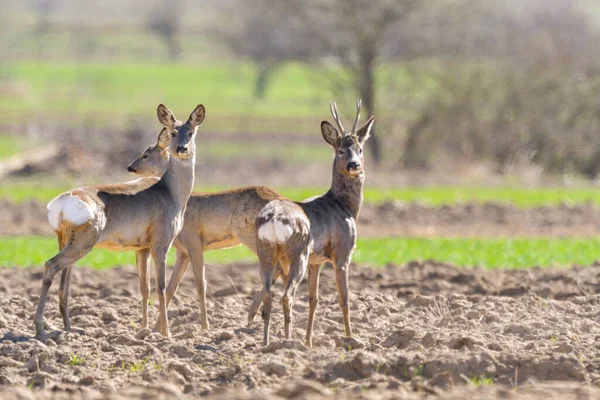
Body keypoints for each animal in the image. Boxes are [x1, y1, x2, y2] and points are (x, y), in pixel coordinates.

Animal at [34, 104, 205, 340]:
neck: (170, 193)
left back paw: (68, 331)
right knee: (50, 266)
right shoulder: (161, 244)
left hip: (67, 242)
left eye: (191, 131)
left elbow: (145, 287)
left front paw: (144, 330)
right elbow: (161, 286)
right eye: (173, 132)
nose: (182, 148)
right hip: (82, 244)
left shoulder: (142, 248)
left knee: (64, 285)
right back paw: (41, 329)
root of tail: (62, 202)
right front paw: (165, 334)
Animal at [126, 142, 284, 330]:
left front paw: (204, 326)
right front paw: (158, 328)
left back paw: (251, 315)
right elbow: (172, 287)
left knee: (276, 268)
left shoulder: (194, 244)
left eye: (146, 155)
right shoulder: (183, 252)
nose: (130, 167)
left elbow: (201, 284)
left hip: (251, 237)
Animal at [254, 101, 376, 346]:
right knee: (286, 296)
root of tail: (273, 219)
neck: (344, 207)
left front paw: (309, 342)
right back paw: (287, 341)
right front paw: (351, 338)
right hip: (297, 253)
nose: (354, 165)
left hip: (266, 253)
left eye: (360, 149)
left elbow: (314, 299)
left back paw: (267, 343)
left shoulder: (315, 261)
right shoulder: (342, 254)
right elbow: (344, 299)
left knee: (269, 296)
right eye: (340, 150)